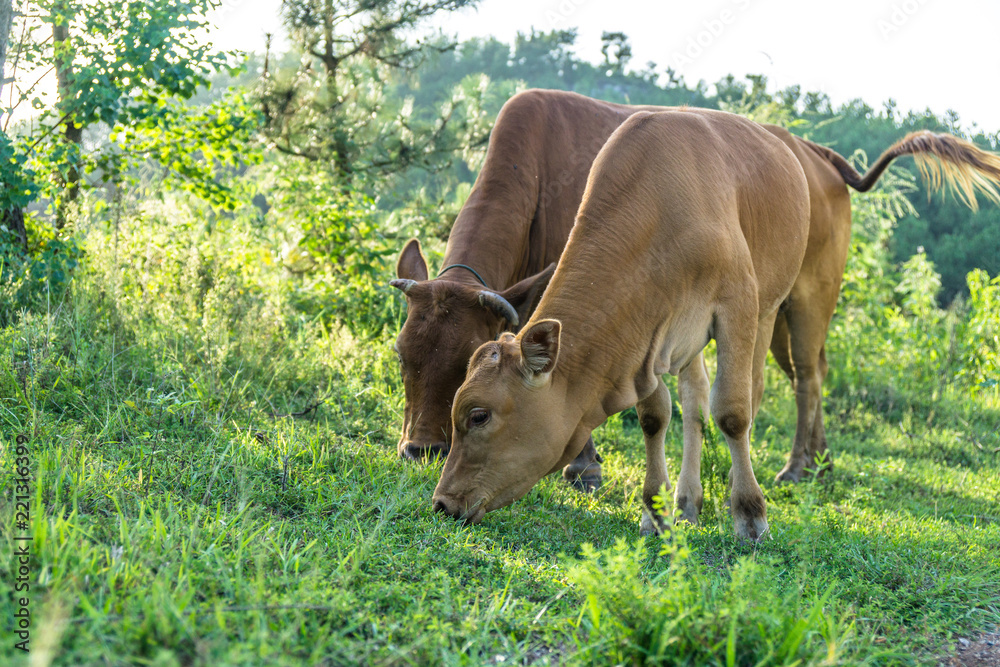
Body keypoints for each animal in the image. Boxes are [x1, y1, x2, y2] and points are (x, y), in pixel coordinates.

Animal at [432, 107, 812, 540]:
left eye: (478, 415)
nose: (442, 503)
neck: (662, 214)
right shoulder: (646, 337)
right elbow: (654, 417)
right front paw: (656, 513)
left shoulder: (737, 305)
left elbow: (732, 412)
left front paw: (749, 514)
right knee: (695, 402)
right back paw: (687, 502)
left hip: (767, 309)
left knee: (750, 391)